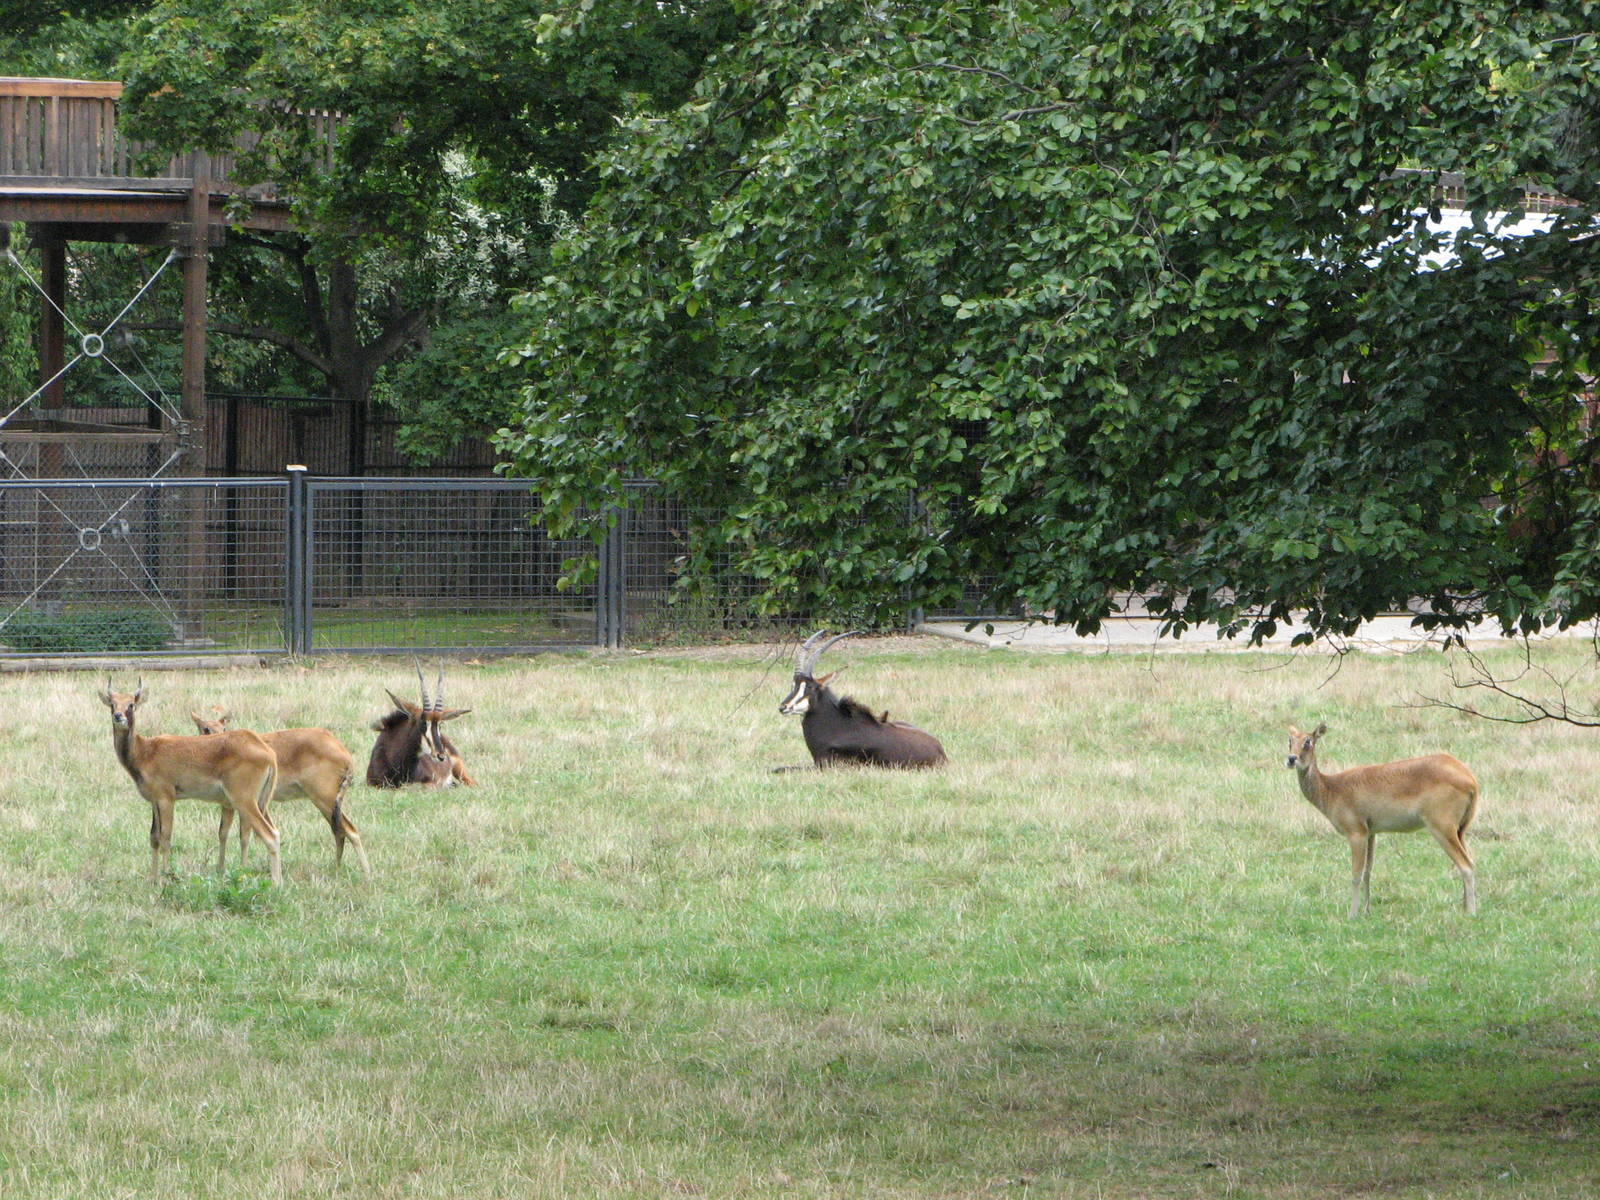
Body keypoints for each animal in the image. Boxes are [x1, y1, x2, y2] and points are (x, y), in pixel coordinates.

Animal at [99, 679, 282, 886]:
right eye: (112, 703)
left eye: (131, 704)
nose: (118, 716)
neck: (145, 750)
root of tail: (266, 751)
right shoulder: (154, 802)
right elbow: (154, 837)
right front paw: (153, 879)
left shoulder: (166, 800)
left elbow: (166, 836)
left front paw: (166, 877)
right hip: (258, 803)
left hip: (244, 802)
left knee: (270, 835)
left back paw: (276, 884)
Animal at [191, 708, 370, 873]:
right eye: (205, 728)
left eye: (224, 728)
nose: (216, 741)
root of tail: (343, 751)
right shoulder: (229, 805)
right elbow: (223, 832)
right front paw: (220, 869)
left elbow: (245, 835)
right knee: (339, 831)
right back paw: (337, 867)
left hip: (324, 800)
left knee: (350, 830)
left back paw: (366, 873)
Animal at [1286, 723, 1479, 918]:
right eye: (1290, 740)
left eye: (1308, 742)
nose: (1291, 759)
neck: (1331, 790)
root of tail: (1471, 780)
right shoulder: (1371, 832)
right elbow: (1368, 871)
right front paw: (1367, 910)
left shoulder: (1356, 832)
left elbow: (1356, 874)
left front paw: (1352, 914)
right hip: (1460, 829)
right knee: (1469, 860)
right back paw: (1464, 906)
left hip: (1441, 826)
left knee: (1466, 865)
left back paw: (1471, 911)